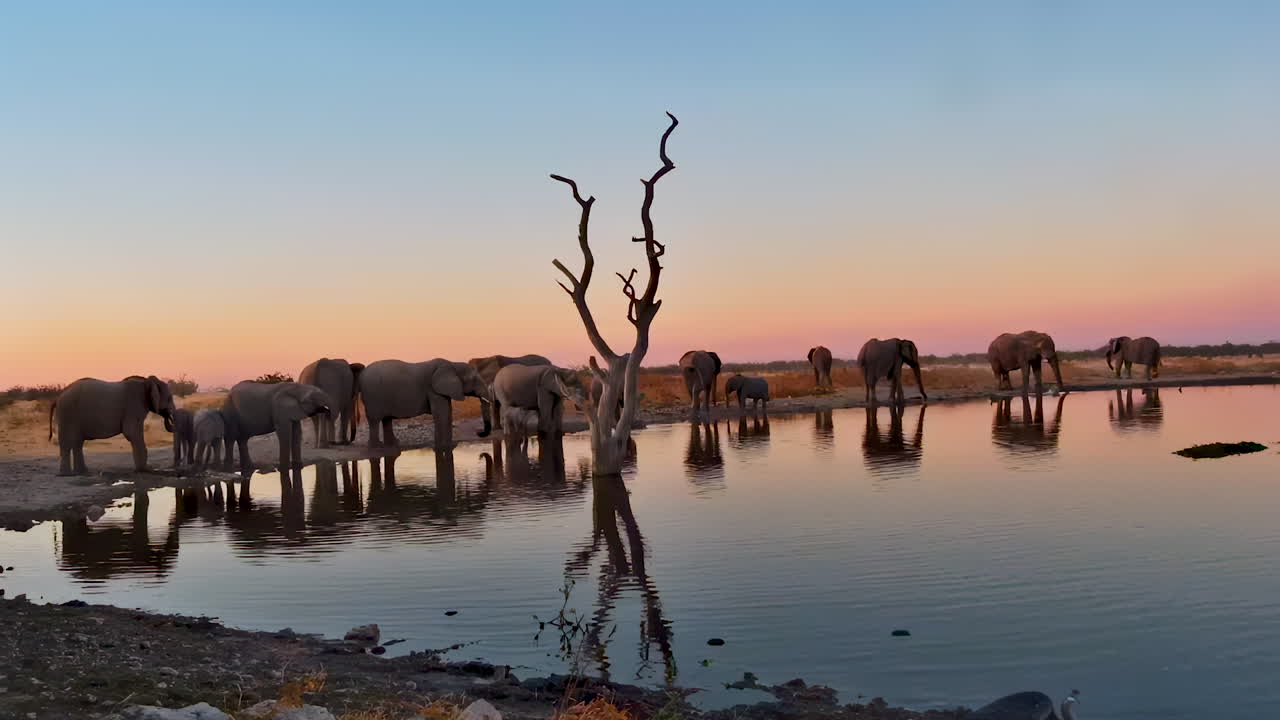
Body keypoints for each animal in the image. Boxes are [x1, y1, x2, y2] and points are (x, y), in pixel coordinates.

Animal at [358, 359, 492, 450]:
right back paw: (377, 447)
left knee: (387, 419)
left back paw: (393, 444)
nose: (479, 432)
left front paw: (448, 446)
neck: (452, 364)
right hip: (373, 396)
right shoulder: (433, 390)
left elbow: (447, 413)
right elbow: (441, 414)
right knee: (375, 420)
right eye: (474, 379)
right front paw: (443, 447)